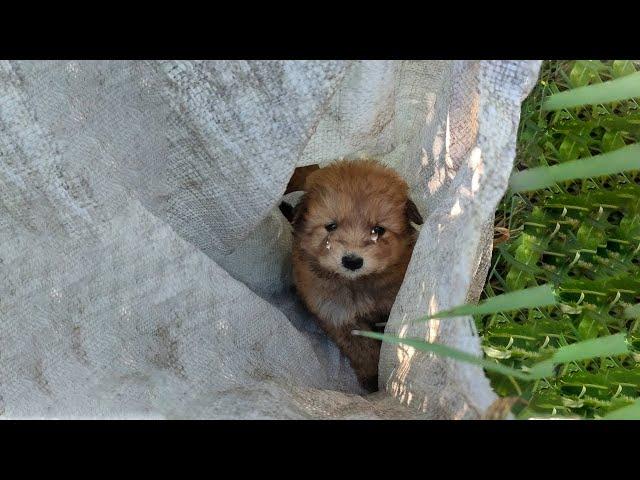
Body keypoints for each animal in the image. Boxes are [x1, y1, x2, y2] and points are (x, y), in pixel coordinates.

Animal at [282, 159, 422, 392]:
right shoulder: (339, 317)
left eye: (378, 230)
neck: (358, 284)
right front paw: (373, 378)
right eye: (331, 226)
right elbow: (363, 351)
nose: (352, 261)